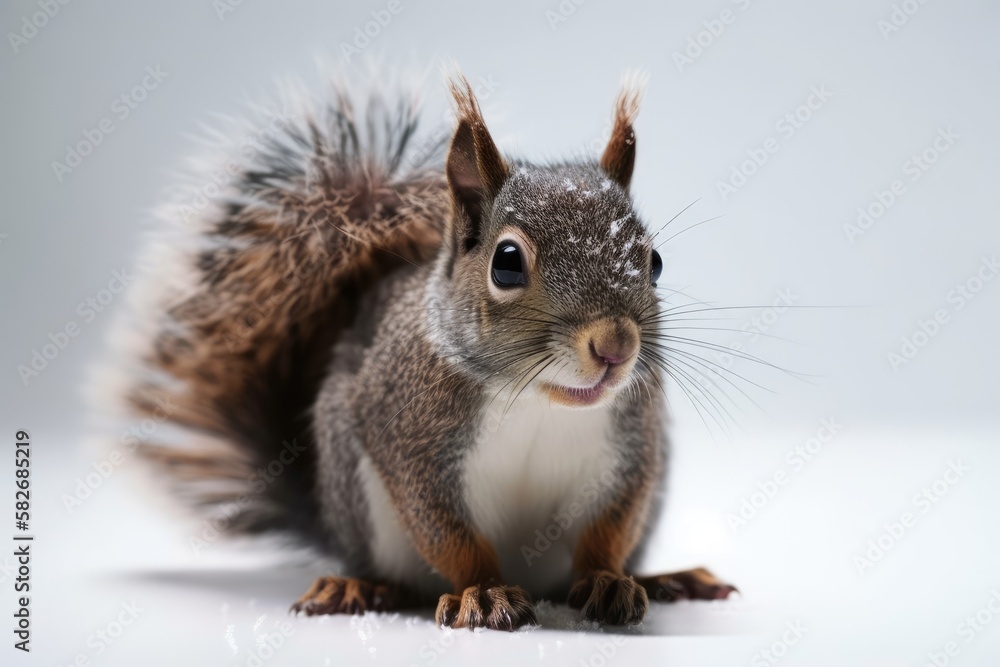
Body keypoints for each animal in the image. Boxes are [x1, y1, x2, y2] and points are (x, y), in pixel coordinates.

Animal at [103, 69, 736, 631]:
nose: (616, 345)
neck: (535, 398)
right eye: (507, 263)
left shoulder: (632, 445)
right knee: (397, 574)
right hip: (359, 499)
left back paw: (664, 579)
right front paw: (483, 592)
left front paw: (608, 579)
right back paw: (360, 586)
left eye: (655, 262)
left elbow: (612, 523)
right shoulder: (409, 439)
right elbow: (445, 530)